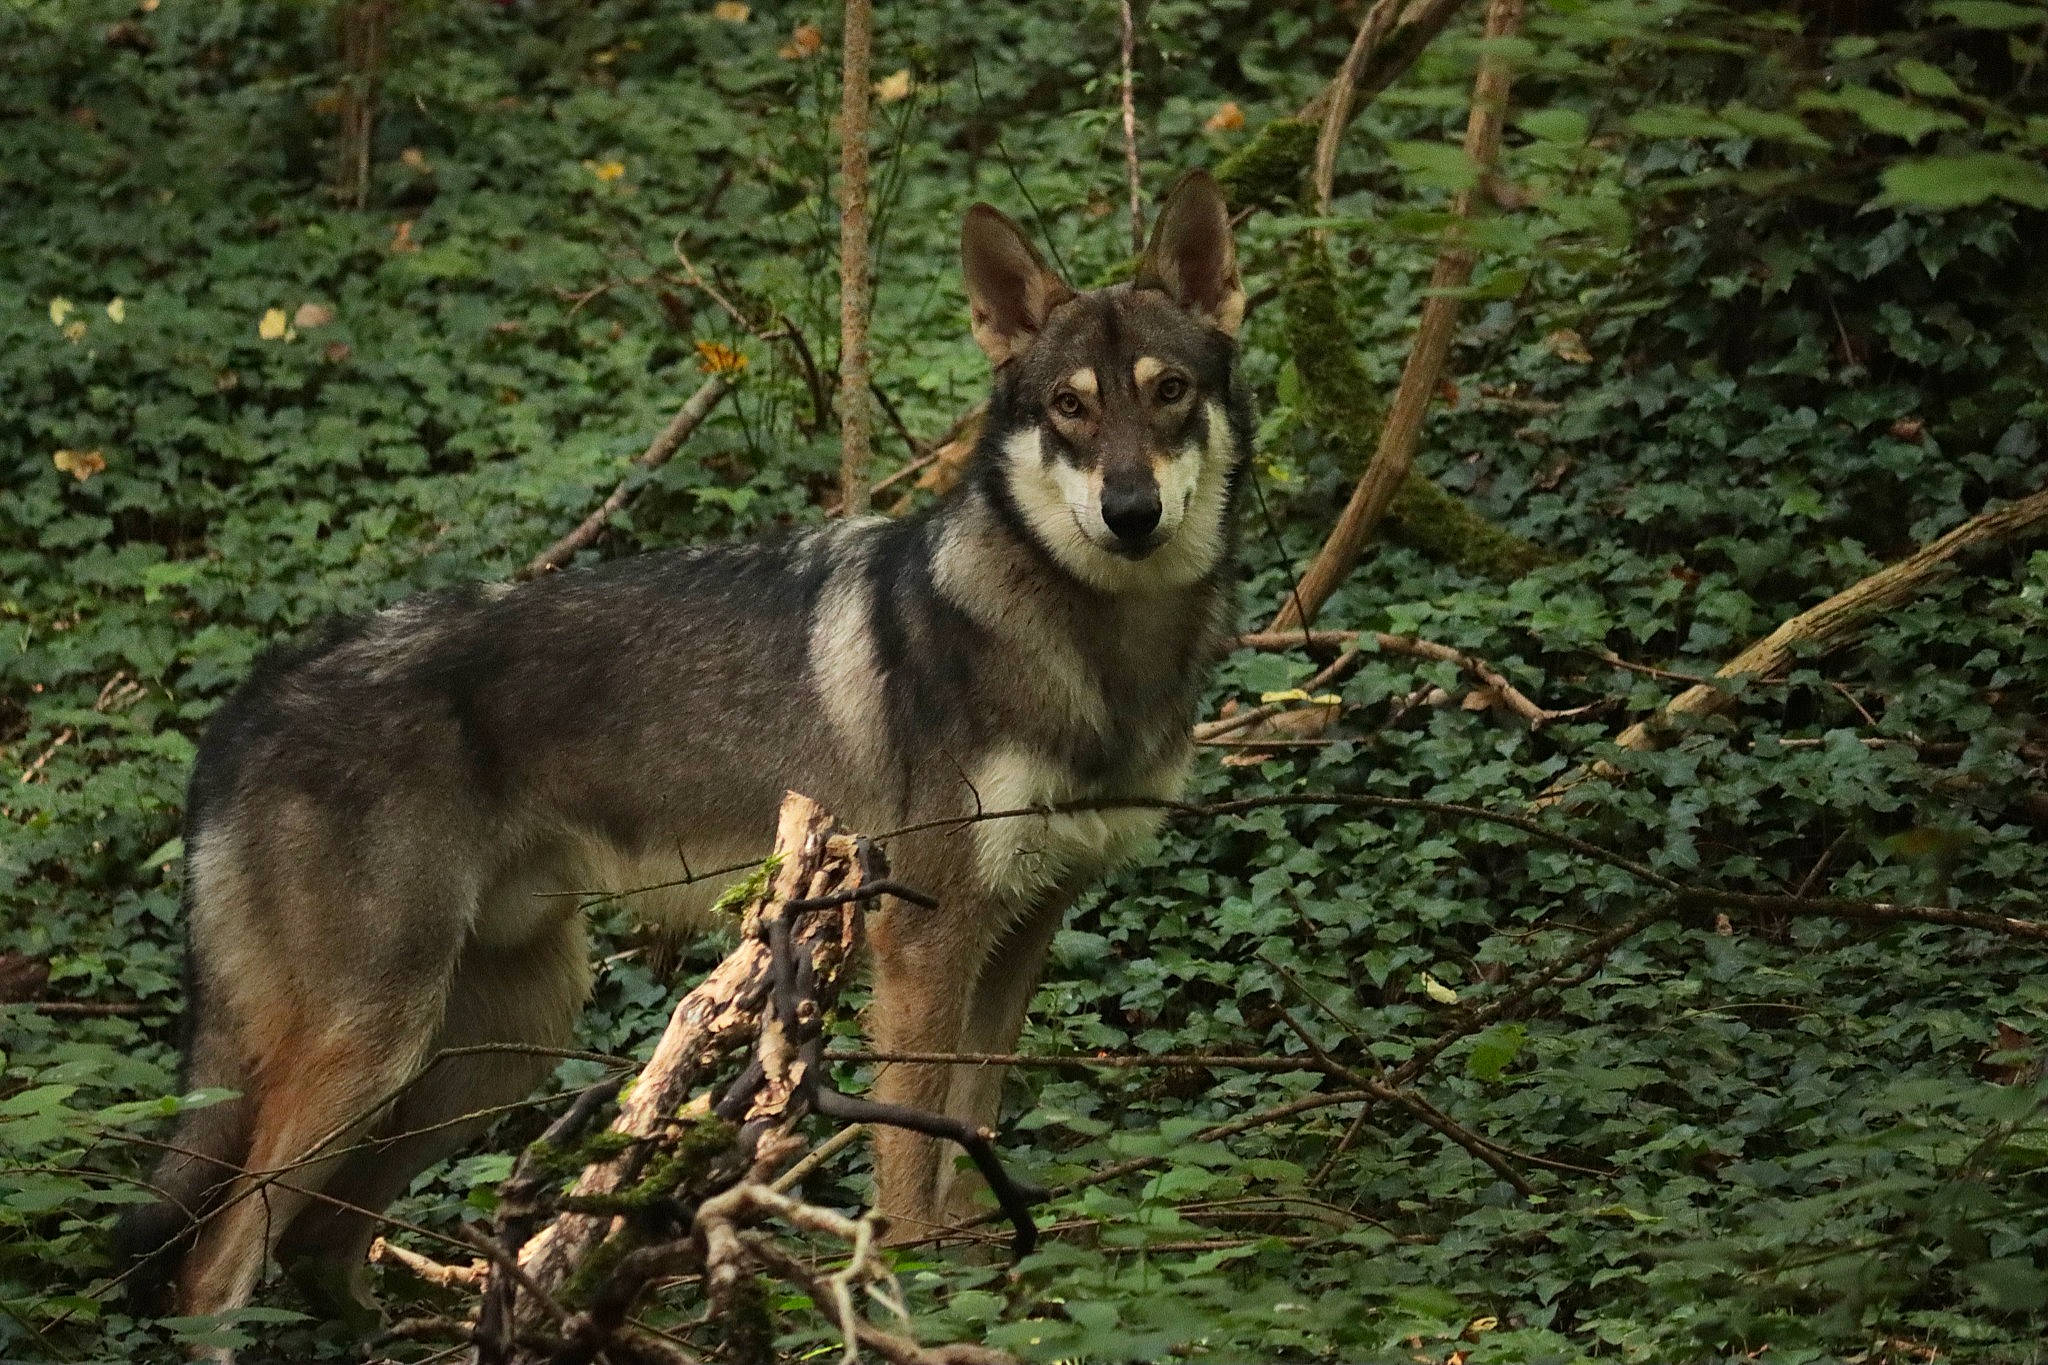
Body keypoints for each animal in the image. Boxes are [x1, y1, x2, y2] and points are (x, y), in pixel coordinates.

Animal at [115, 169, 1252, 1326]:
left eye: (1168, 392)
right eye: (1069, 406)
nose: (1129, 511)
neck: (1097, 652)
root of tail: (249, 697)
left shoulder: (1022, 929)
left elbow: (971, 1129)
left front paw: (979, 1276)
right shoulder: (921, 940)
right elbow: (908, 1155)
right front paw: (916, 1288)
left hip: (500, 1041)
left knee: (322, 1246)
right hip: (378, 1045)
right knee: (214, 1267)